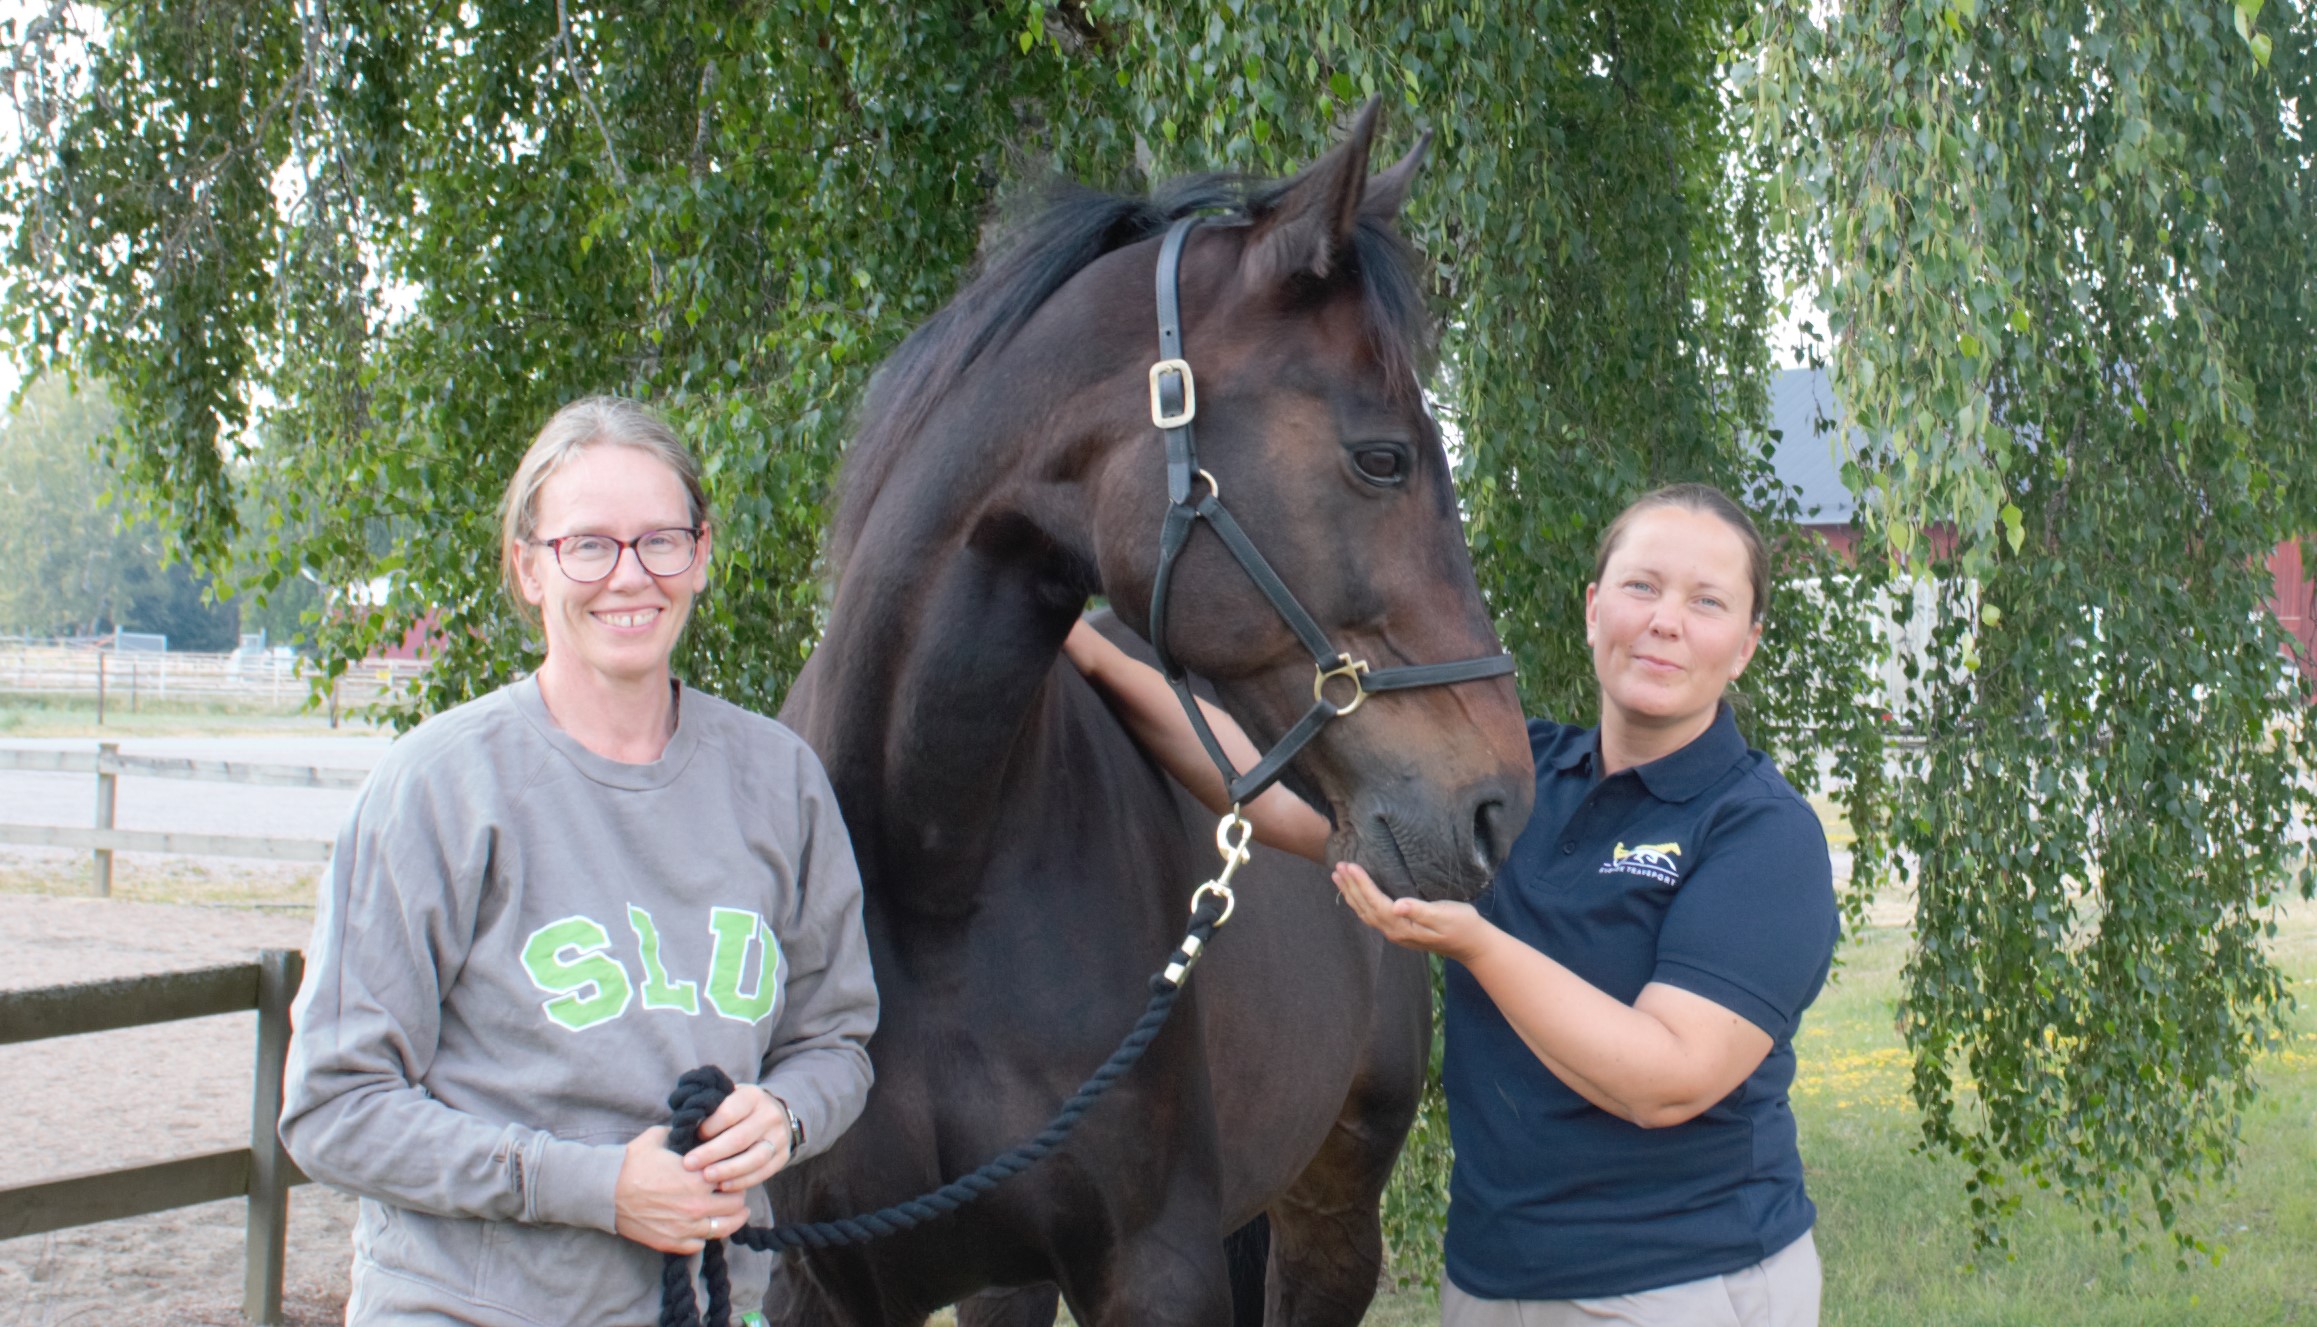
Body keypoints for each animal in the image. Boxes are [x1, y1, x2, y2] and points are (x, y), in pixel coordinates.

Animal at [773, 105, 1538, 1324]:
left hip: (1332, 1219)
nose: (1497, 803)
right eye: (1382, 457)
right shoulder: (819, 1280)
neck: (925, 861)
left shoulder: (1155, 1266)